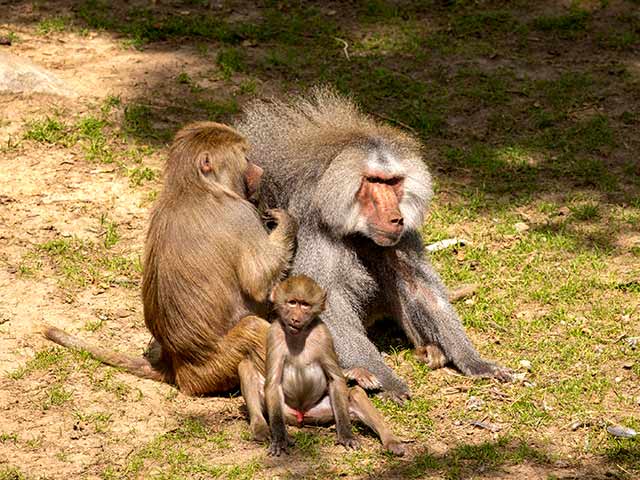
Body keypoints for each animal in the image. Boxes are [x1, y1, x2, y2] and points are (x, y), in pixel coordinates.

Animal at [43, 122, 297, 438]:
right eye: (245, 156)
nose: (259, 169)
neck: (193, 187)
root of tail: (176, 367)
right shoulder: (240, 214)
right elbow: (259, 281)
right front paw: (287, 221)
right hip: (218, 366)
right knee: (254, 328)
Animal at [236, 88, 512, 402]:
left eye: (393, 182)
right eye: (374, 181)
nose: (396, 219)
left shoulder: (402, 238)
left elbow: (422, 290)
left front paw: (476, 362)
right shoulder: (311, 234)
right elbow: (327, 305)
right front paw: (386, 378)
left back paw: (431, 351)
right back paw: (356, 373)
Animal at [253, 275, 405, 456]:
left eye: (305, 305)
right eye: (292, 302)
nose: (296, 319)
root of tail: (302, 414)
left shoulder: (323, 334)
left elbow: (336, 378)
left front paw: (346, 435)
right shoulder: (274, 334)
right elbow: (273, 383)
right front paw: (279, 439)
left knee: (355, 394)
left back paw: (391, 441)